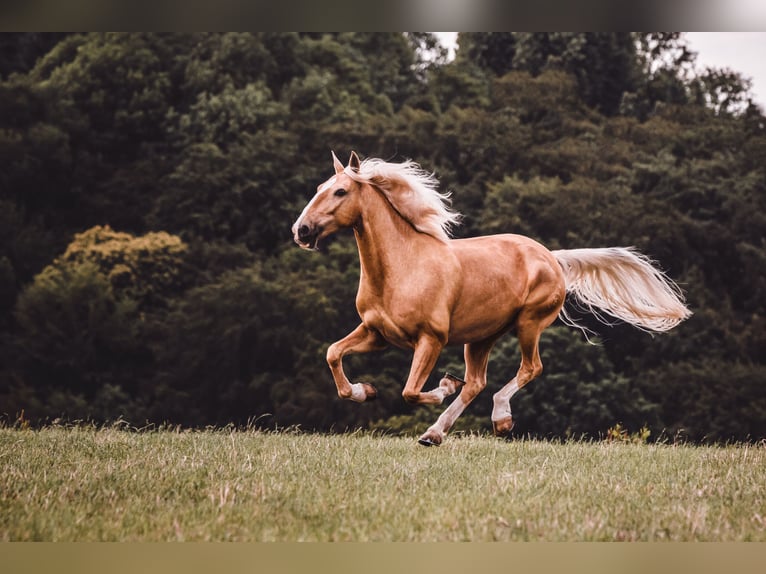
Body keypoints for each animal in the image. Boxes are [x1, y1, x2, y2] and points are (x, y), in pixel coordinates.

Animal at [292, 152, 688, 446]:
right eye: (320, 187)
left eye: (341, 192)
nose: (302, 230)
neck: (402, 268)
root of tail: (551, 257)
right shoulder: (377, 334)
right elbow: (333, 354)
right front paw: (366, 391)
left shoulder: (430, 339)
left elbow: (410, 392)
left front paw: (443, 387)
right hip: (481, 337)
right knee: (477, 383)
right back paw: (434, 434)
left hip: (528, 325)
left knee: (529, 369)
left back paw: (500, 419)